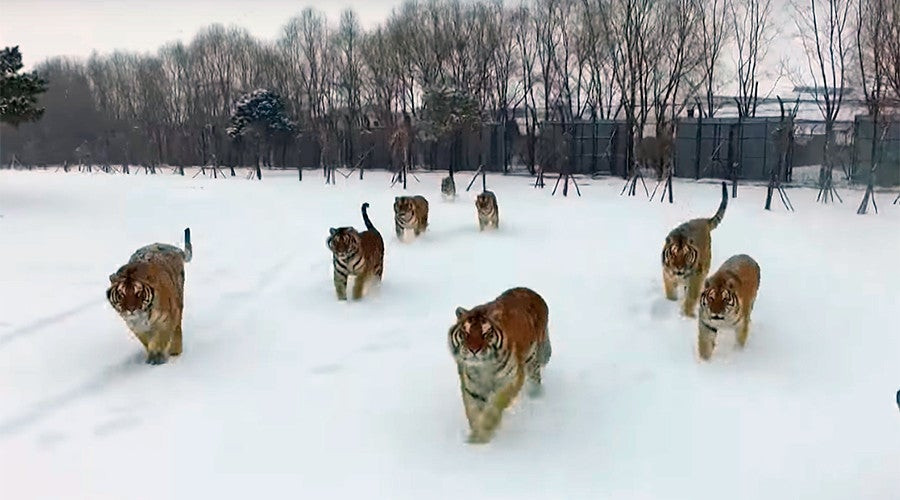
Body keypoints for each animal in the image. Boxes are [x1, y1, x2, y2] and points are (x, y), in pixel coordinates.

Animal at [108, 229, 194, 366]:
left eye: (138, 292)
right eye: (121, 294)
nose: (131, 309)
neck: (142, 317)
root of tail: (169, 247)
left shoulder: (167, 319)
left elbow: (160, 338)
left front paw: (158, 357)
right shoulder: (137, 328)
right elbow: (147, 341)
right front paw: (152, 356)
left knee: (177, 331)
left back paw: (175, 351)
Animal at [448, 288, 552, 444]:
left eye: (486, 333)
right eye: (465, 333)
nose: (474, 350)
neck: (484, 367)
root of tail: (528, 290)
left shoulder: (512, 378)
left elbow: (497, 404)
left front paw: (486, 431)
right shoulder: (472, 387)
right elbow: (473, 413)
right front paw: (474, 440)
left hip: (532, 360)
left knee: (535, 379)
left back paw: (536, 396)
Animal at [660, 182, 732, 316]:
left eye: (686, 255)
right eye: (673, 254)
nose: (679, 268)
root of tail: (704, 220)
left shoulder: (696, 277)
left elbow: (691, 297)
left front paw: (687, 315)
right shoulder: (668, 276)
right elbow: (670, 293)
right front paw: (670, 303)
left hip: (705, 266)